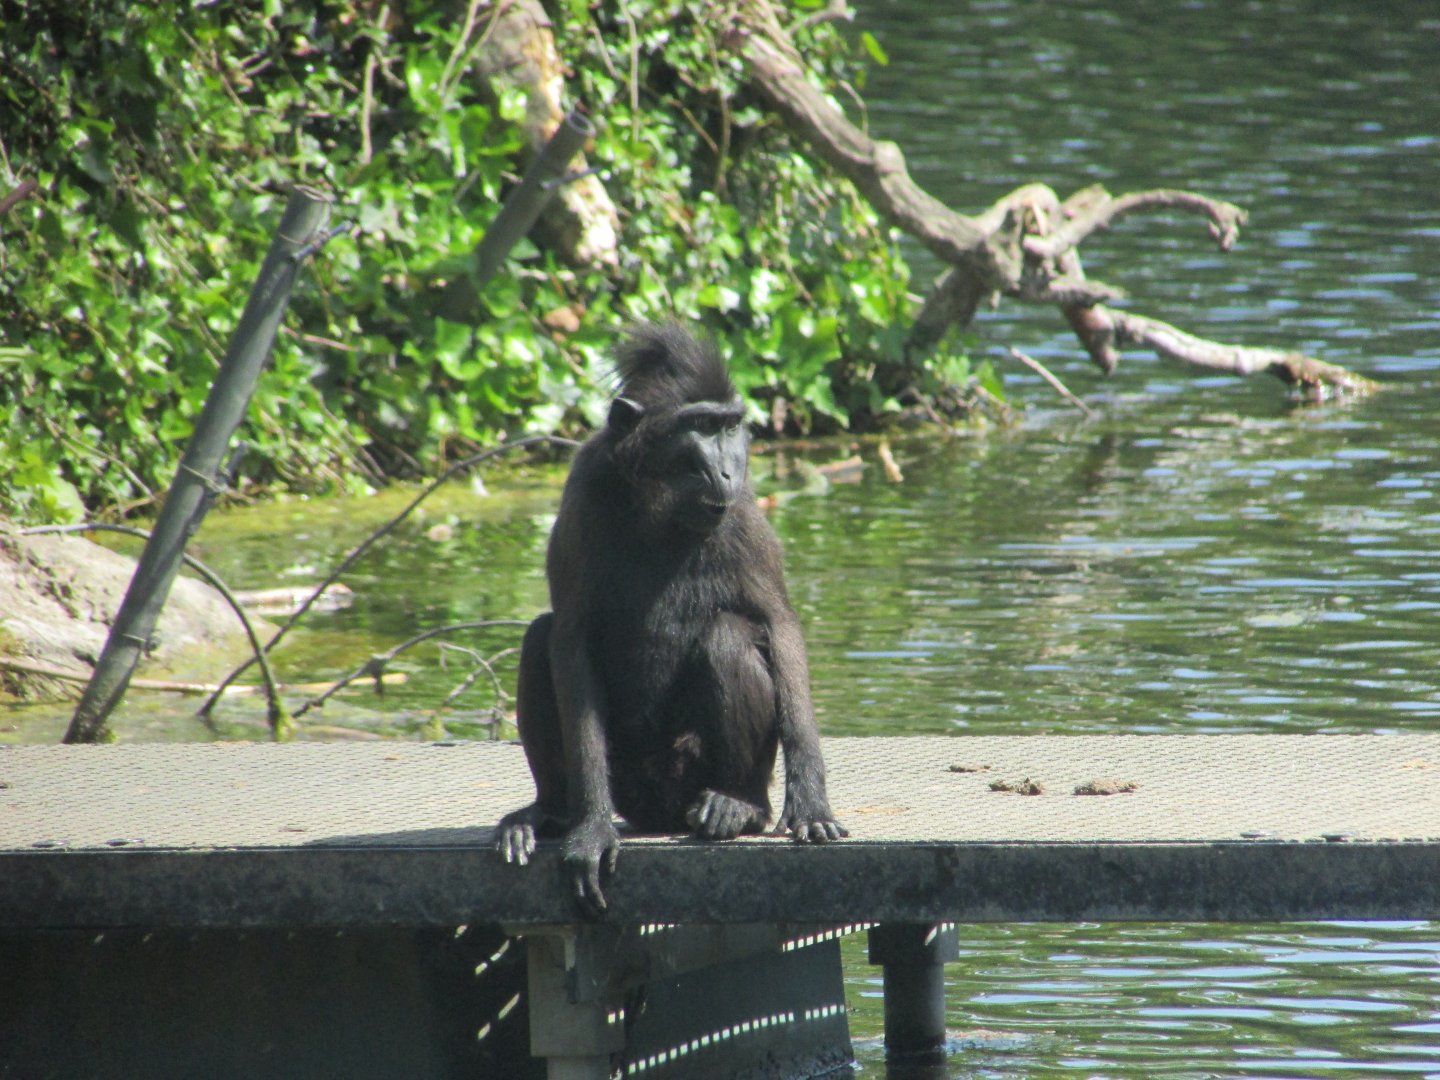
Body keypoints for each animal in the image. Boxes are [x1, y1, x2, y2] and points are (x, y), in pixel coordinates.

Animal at [495, 322, 845, 913]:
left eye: (730, 426)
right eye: (699, 426)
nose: (727, 469)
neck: (658, 504)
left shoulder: (742, 509)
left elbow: (779, 625)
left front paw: (812, 803)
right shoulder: (583, 489)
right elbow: (568, 636)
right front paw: (591, 829)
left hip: (691, 768)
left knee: (726, 636)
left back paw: (739, 804)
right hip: (629, 781)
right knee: (539, 638)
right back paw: (551, 812)